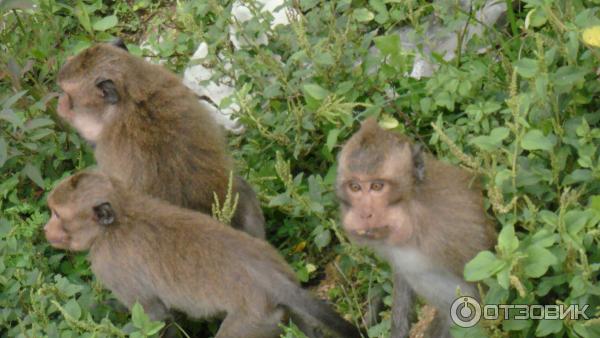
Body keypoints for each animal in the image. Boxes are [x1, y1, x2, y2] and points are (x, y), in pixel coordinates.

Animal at [44, 172, 360, 338]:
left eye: (58, 215)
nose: (47, 229)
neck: (122, 216)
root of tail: (271, 275)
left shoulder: (109, 264)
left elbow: (155, 317)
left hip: (253, 320)